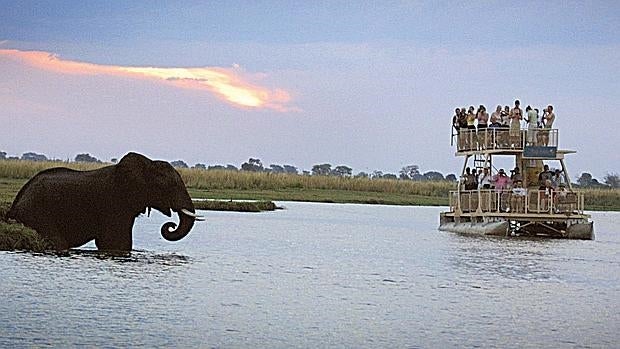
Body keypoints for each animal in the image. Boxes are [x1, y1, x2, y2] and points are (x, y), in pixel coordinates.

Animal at [6, 152, 203, 250]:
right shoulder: (114, 202)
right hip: (36, 213)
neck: (147, 164)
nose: (170, 226)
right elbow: (115, 243)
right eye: (170, 185)